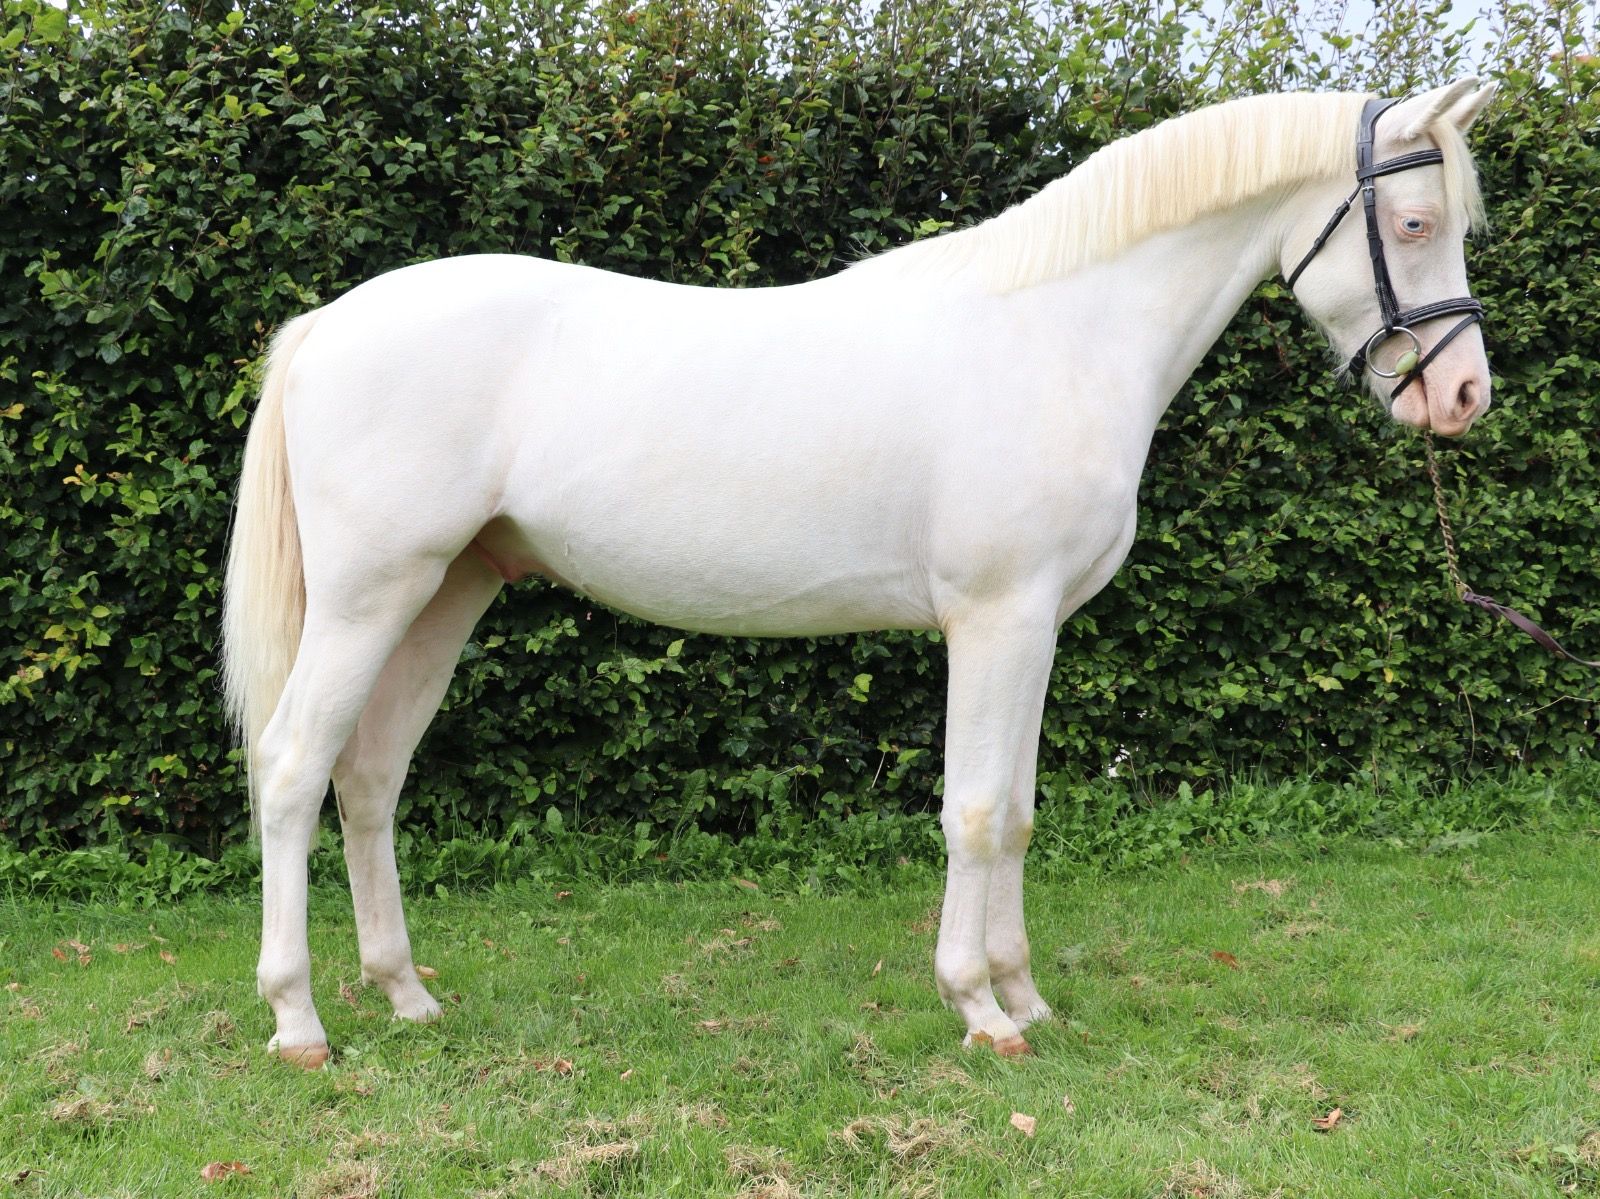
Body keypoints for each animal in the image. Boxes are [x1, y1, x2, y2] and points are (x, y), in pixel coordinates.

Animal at [223, 80, 1496, 1067]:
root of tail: (327, 322)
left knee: (369, 777)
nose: (1462, 394)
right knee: (292, 767)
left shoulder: (1036, 627)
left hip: (446, 591)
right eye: (1415, 221)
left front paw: (1027, 994)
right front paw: (980, 1011)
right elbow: (973, 811)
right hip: (371, 594)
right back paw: (298, 1021)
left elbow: (1017, 812)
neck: (1060, 330)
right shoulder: (994, 618)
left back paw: (405, 994)